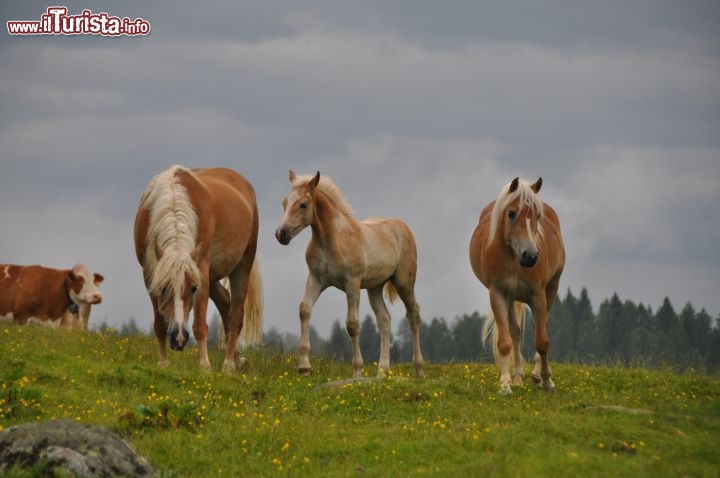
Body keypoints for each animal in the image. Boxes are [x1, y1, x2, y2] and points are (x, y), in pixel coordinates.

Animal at [134, 165, 262, 374]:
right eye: (163, 289)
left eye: (193, 288)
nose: (179, 339)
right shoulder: (149, 274)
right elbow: (159, 324)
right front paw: (163, 363)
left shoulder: (200, 272)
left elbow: (200, 325)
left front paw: (204, 365)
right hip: (212, 278)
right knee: (225, 303)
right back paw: (237, 359)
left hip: (242, 264)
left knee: (235, 315)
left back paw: (228, 365)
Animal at [274, 171, 422, 378]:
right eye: (284, 203)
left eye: (303, 204)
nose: (281, 234)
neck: (332, 239)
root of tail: (403, 227)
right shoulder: (315, 279)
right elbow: (304, 309)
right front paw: (304, 366)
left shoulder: (352, 283)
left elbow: (352, 324)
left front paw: (357, 371)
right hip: (374, 288)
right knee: (384, 320)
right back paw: (382, 371)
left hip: (404, 282)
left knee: (413, 315)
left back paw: (418, 369)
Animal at [470, 177, 564, 394]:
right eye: (511, 214)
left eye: (537, 215)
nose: (530, 256)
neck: (513, 258)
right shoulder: (498, 295)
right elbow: (506, 341)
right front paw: (505, 384)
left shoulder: (538, 295)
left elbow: (542, 341)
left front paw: (547, 380)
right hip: (512, 298)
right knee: (516, 333)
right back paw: (518, 378)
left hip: (551, 290)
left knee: (541, 325)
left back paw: (536, 375)